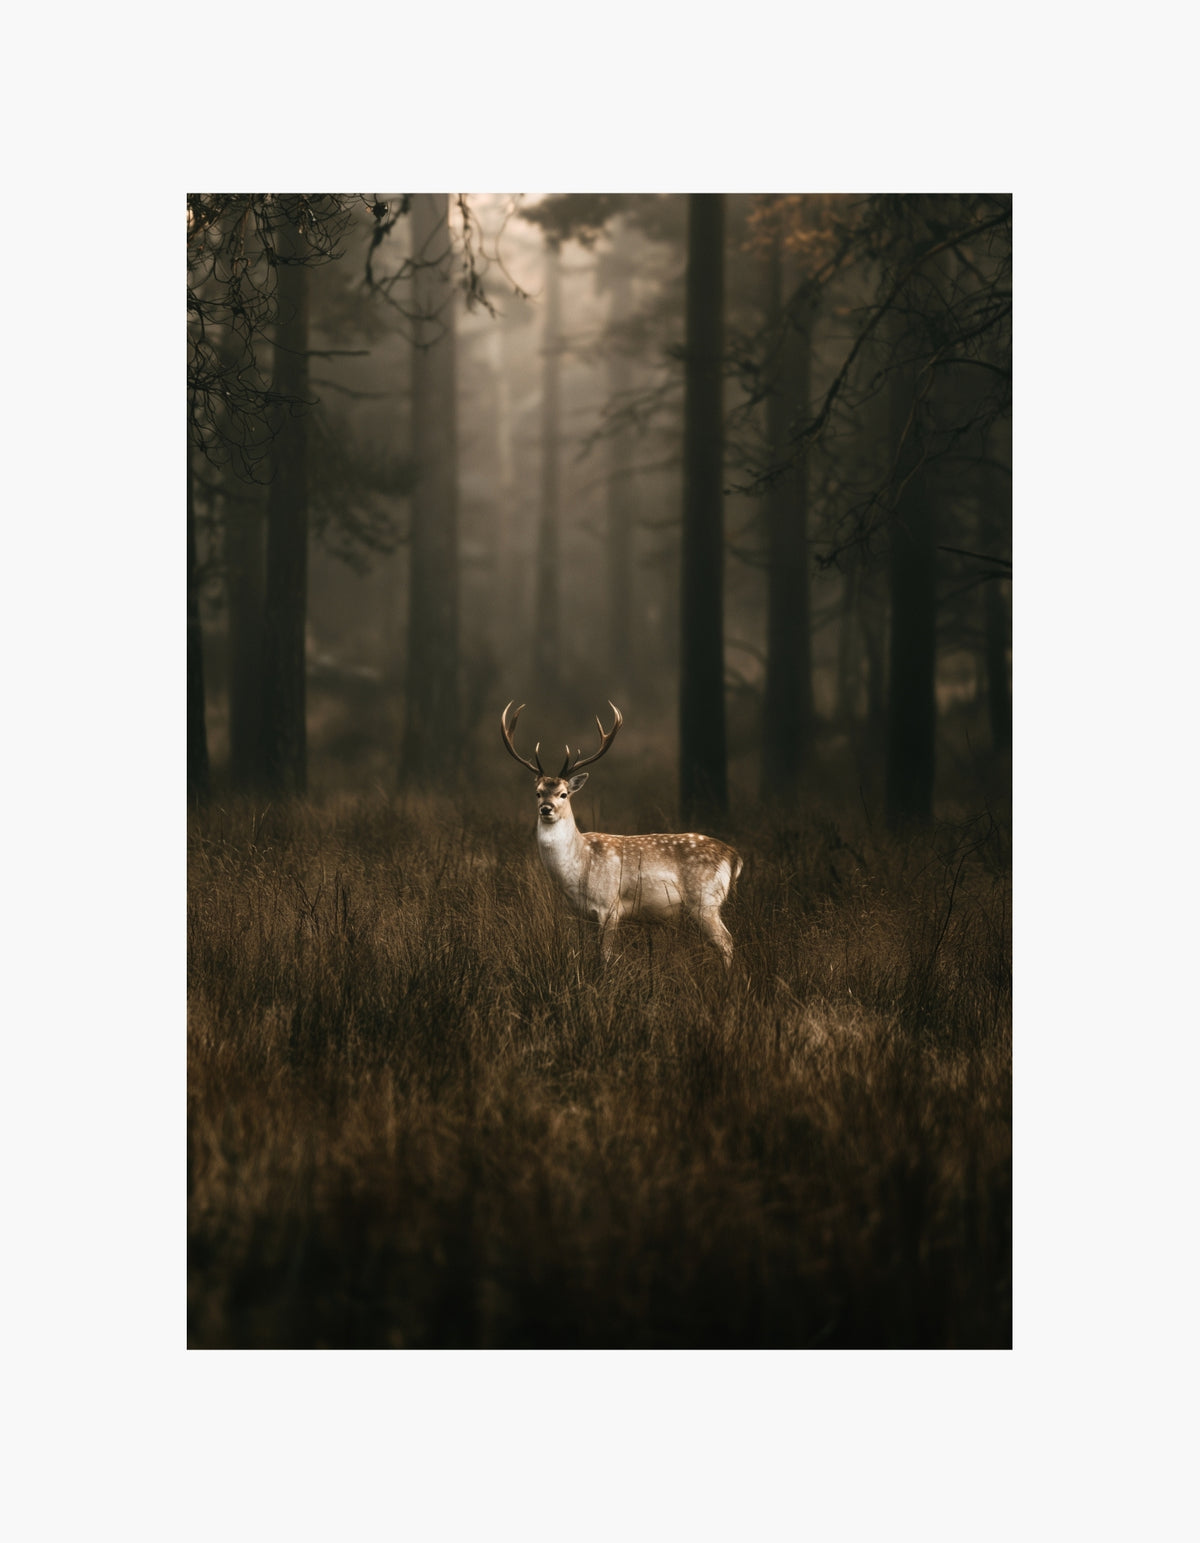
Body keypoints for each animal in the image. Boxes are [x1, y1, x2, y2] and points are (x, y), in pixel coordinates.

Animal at [501, 701, 743, 966]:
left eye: (563, 794)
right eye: (538, 792)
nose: (546, 808)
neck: (580, 864)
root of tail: (734, 857)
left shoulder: (609, 905)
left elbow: (605, 956)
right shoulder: (583, 914)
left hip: (705, 900)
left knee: (727, 941)